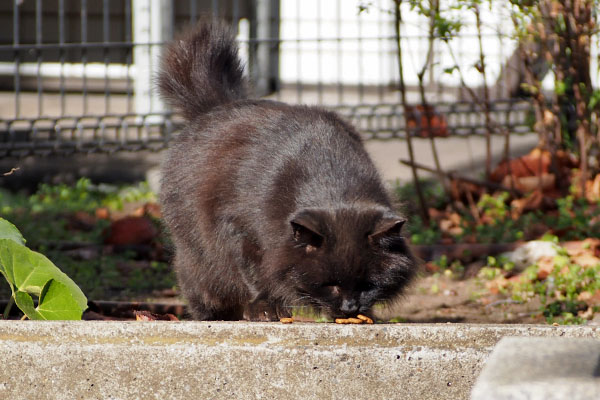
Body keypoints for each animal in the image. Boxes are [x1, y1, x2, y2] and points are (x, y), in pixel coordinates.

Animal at [157, 21, 414, 322]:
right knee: (202, 285)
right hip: (197, 253)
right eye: (331, 284)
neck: (332, 184)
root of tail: (216, 106)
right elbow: (255, 273)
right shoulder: (238, 230)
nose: (349, 308)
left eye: (367, 285)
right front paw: (265, 307)